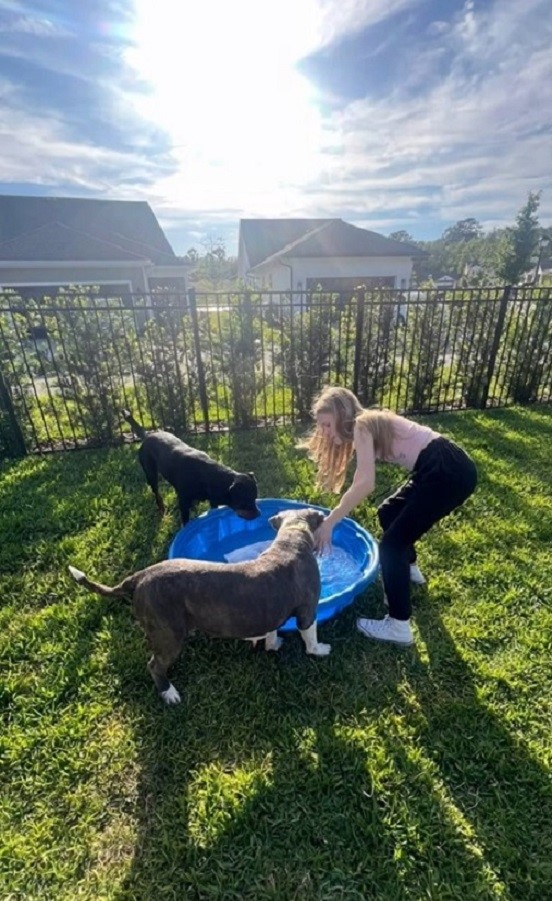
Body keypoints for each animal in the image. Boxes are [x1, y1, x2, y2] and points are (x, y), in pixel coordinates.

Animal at [122, 412, 260, 524]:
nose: (259, 514)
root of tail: (147, 435)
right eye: (245, 502)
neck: (210, 476)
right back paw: (162, 509)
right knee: (156, 492)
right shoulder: (183, 503)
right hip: (150, 473)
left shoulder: (213, 500)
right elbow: (185, 522)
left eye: (255, 498)